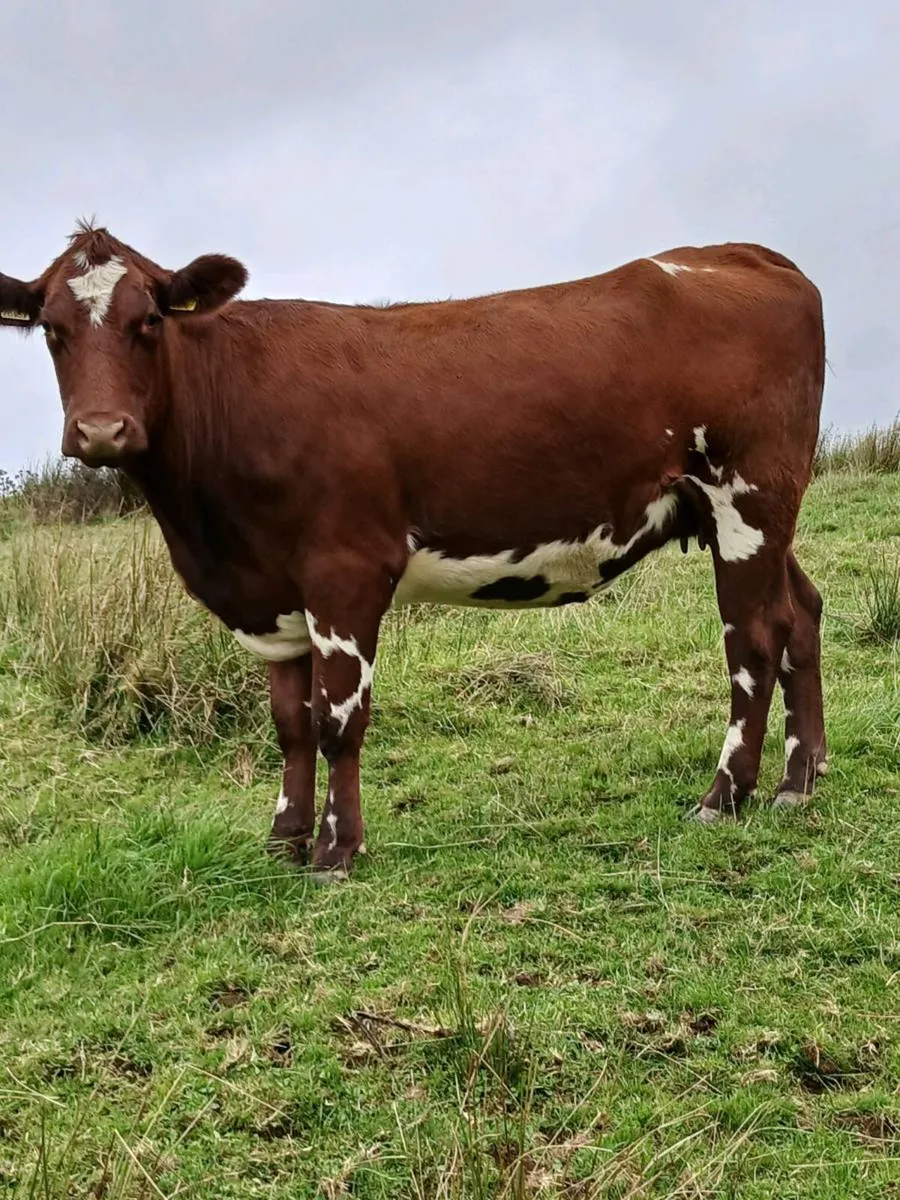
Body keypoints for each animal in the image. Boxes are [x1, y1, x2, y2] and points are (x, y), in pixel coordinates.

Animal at [1, 223, 828, 881]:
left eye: (147, 320)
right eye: (50, 327)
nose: (102, 430)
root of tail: (743, 253)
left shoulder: (346, 572)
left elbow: (338, 720)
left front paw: (336, 851)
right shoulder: (272, 595)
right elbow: (289, 723)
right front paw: (283, 838)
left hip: (747, 495)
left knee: (754, 641)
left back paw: (725, 795)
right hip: (749, 516)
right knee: (802, 616)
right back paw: (799, 778)